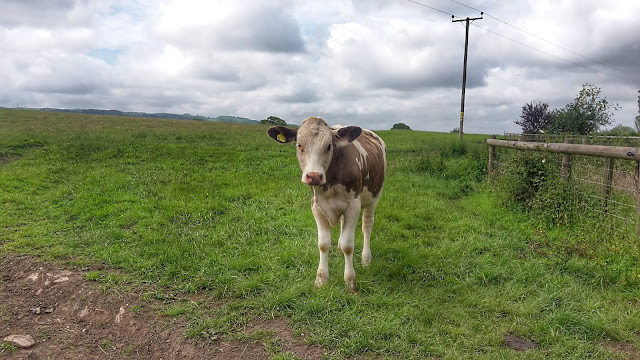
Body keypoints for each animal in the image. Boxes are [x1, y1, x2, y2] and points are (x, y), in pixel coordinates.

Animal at [268, 116, 388, 292]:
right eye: (299, 145)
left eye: (329, 146)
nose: (314, 176)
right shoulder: (316, 207)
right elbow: (323, 244)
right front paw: (321, 279)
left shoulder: (353, 206)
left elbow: (348, 245)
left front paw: (350, 281)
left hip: (374, 196)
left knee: (367, 225)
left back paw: (366, 258)